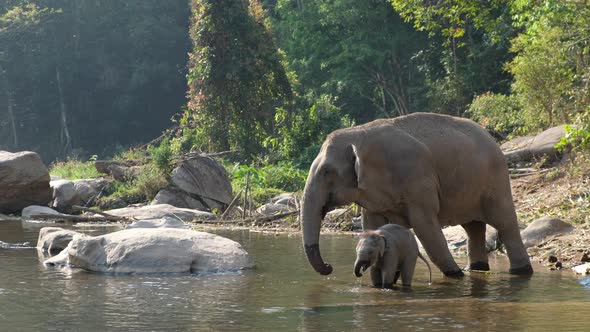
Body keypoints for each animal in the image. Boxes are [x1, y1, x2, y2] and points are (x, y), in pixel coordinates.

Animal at [302, 113, 536, 278]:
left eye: (326, 172)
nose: (329, 267)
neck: (358, 133)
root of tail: (492, 138)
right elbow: (373, 225)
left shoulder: (417, 178)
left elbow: (425, 227)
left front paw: (455, 275)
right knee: (473, 227)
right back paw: (477, 269)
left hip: (496, 179)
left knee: (505, 223)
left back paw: (520, 271)